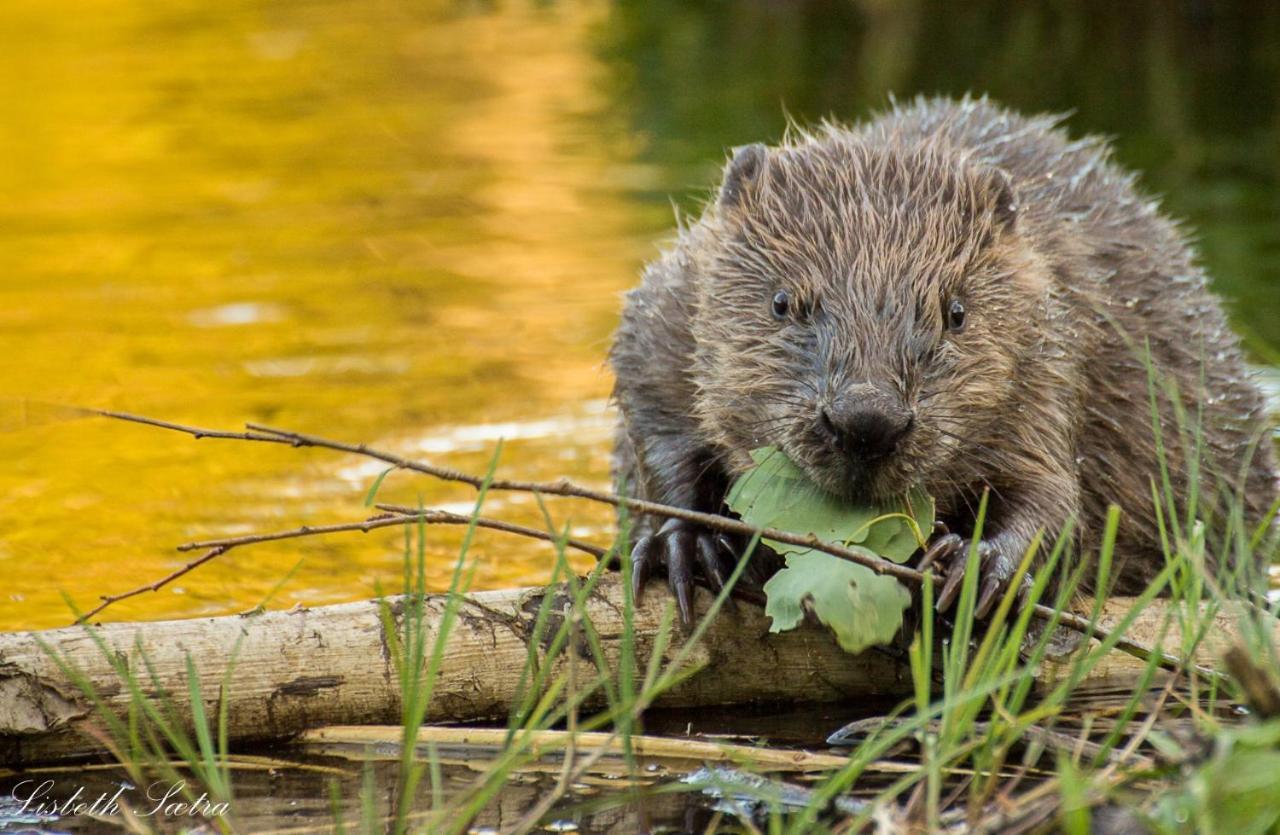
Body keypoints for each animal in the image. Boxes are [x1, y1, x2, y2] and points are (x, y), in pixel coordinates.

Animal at [609, 94, 1280, 622]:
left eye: (955, 311)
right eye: (781, 301)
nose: (867, 421)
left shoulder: (1055, 350)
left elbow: (1054, 495)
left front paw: (976, 564)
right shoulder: (668, 309)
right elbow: (656, 424)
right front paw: (687, 543)